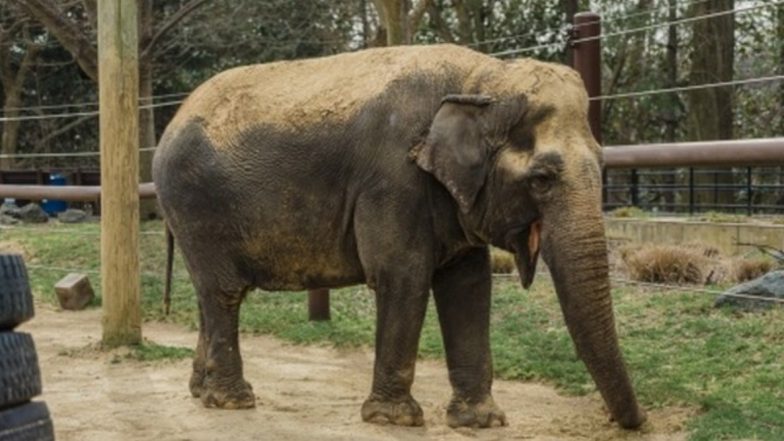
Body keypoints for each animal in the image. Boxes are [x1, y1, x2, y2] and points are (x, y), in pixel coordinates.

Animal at [152, 44, 646, 429]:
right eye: (542, 179)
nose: (633, 422)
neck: (483, 79)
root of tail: (171, 122)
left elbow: (468, 286)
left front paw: (481, 422)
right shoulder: (393, 180)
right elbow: (402, 275)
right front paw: (395, 420)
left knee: (209, 295)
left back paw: (200, 391)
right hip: (196, 205)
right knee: (224, 292)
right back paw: (232, 402)